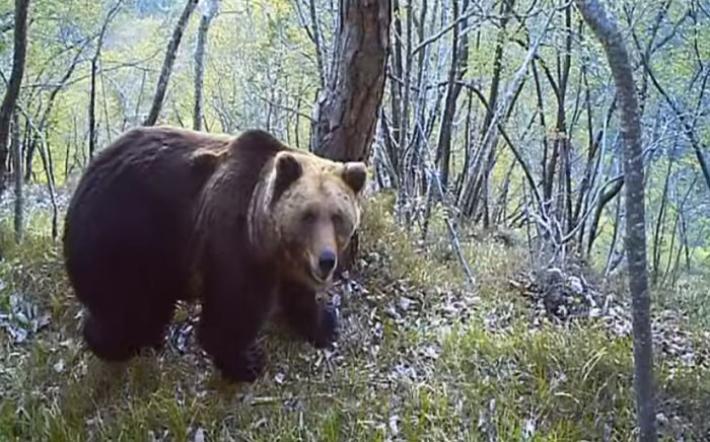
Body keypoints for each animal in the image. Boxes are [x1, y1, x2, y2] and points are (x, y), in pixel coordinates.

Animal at [62, 126, 367, 382]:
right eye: (308, 215)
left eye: (337, 216)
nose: (326, 260)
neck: (263, 236)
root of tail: (84, 181)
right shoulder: (232, 242)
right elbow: (231, 311)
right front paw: (245, 363)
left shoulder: (283, 262)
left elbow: (299, 296)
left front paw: (324, 324)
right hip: (124, 240)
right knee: (125, 307)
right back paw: (118, 343)